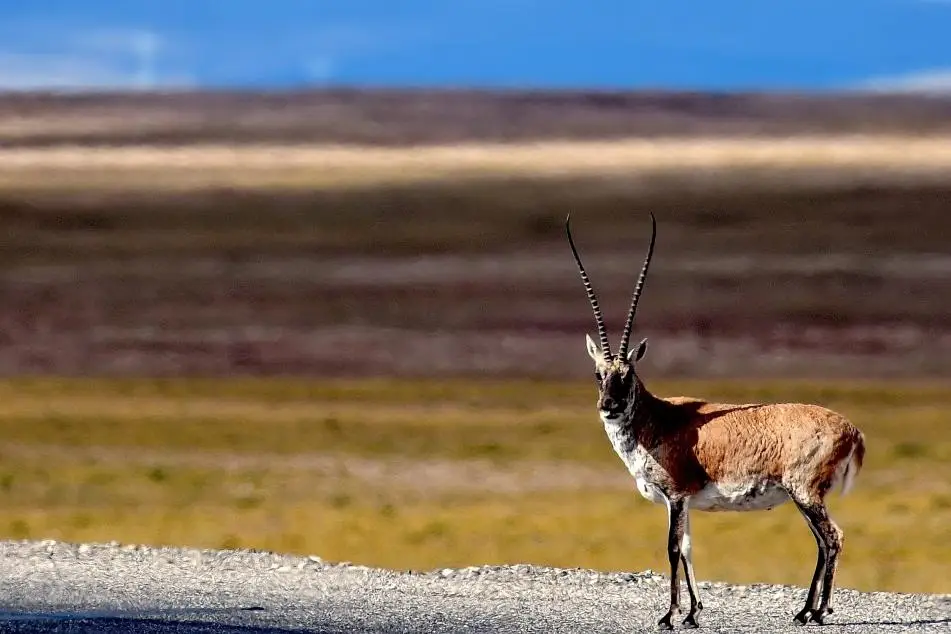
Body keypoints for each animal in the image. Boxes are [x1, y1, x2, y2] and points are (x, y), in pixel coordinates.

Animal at [564, 214, 872, 628]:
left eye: (627, 374)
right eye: (599, 374)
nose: (609, 406)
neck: (658, 418)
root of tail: (852, 430)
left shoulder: (676, 497)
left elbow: (672, 549)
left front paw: (669, 616)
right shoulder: (682, 503)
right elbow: (688, 548)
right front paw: (693, 614)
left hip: (805, 493)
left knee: (832, 537)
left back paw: (817, 612)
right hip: (803, 497)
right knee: (823, 541)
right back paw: (806, 610)